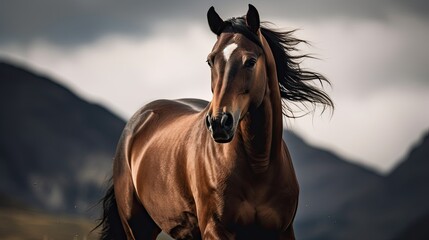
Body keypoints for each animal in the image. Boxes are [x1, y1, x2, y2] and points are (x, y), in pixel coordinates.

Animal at [96, 4, 332, 240]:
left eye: (251, 61)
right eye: (210, 60)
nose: (219, 122)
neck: (259, 166)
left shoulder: (283, 231)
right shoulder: (215, 229)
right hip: (137, 227)